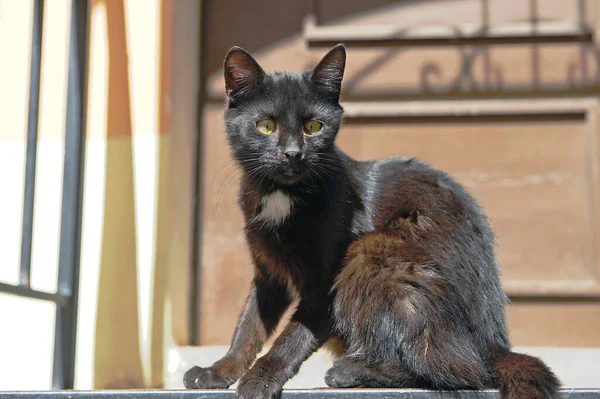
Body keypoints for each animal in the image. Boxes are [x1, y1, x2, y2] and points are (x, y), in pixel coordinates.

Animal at [184, 43, 564, 399]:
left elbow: (293, 336)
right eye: (265, 126)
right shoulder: (268, 272)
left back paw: (351, 371)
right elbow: (249, 326)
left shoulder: (323, 286)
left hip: (371, 249)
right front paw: (219, 371)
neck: (281, 196)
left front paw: (260, 379)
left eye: (313, 127)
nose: (293, 153)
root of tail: (494, 343)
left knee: (460, 371)